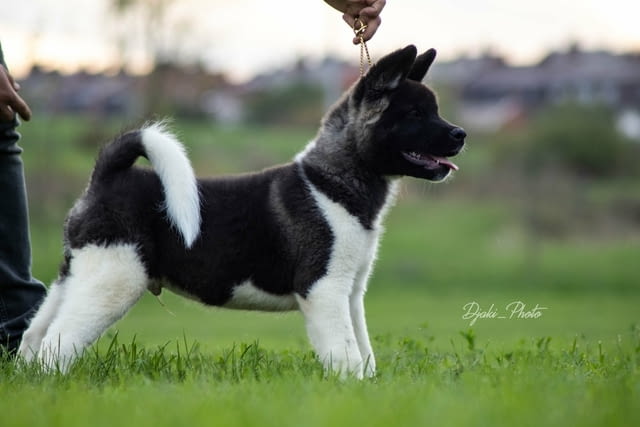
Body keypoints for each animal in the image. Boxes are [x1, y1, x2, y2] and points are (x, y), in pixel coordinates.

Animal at [18, 44, 464, 378]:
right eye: (414, 114)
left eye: (434, 110)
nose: (461, 134)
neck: (334, 180)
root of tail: (106, 176)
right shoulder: (323, 289)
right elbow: (345, 353)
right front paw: (351, 390)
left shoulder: (350, 293)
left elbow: (362, 350)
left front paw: (367, 388)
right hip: (114, 278)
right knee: (58, 341)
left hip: (80, 272)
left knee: (36, 333)